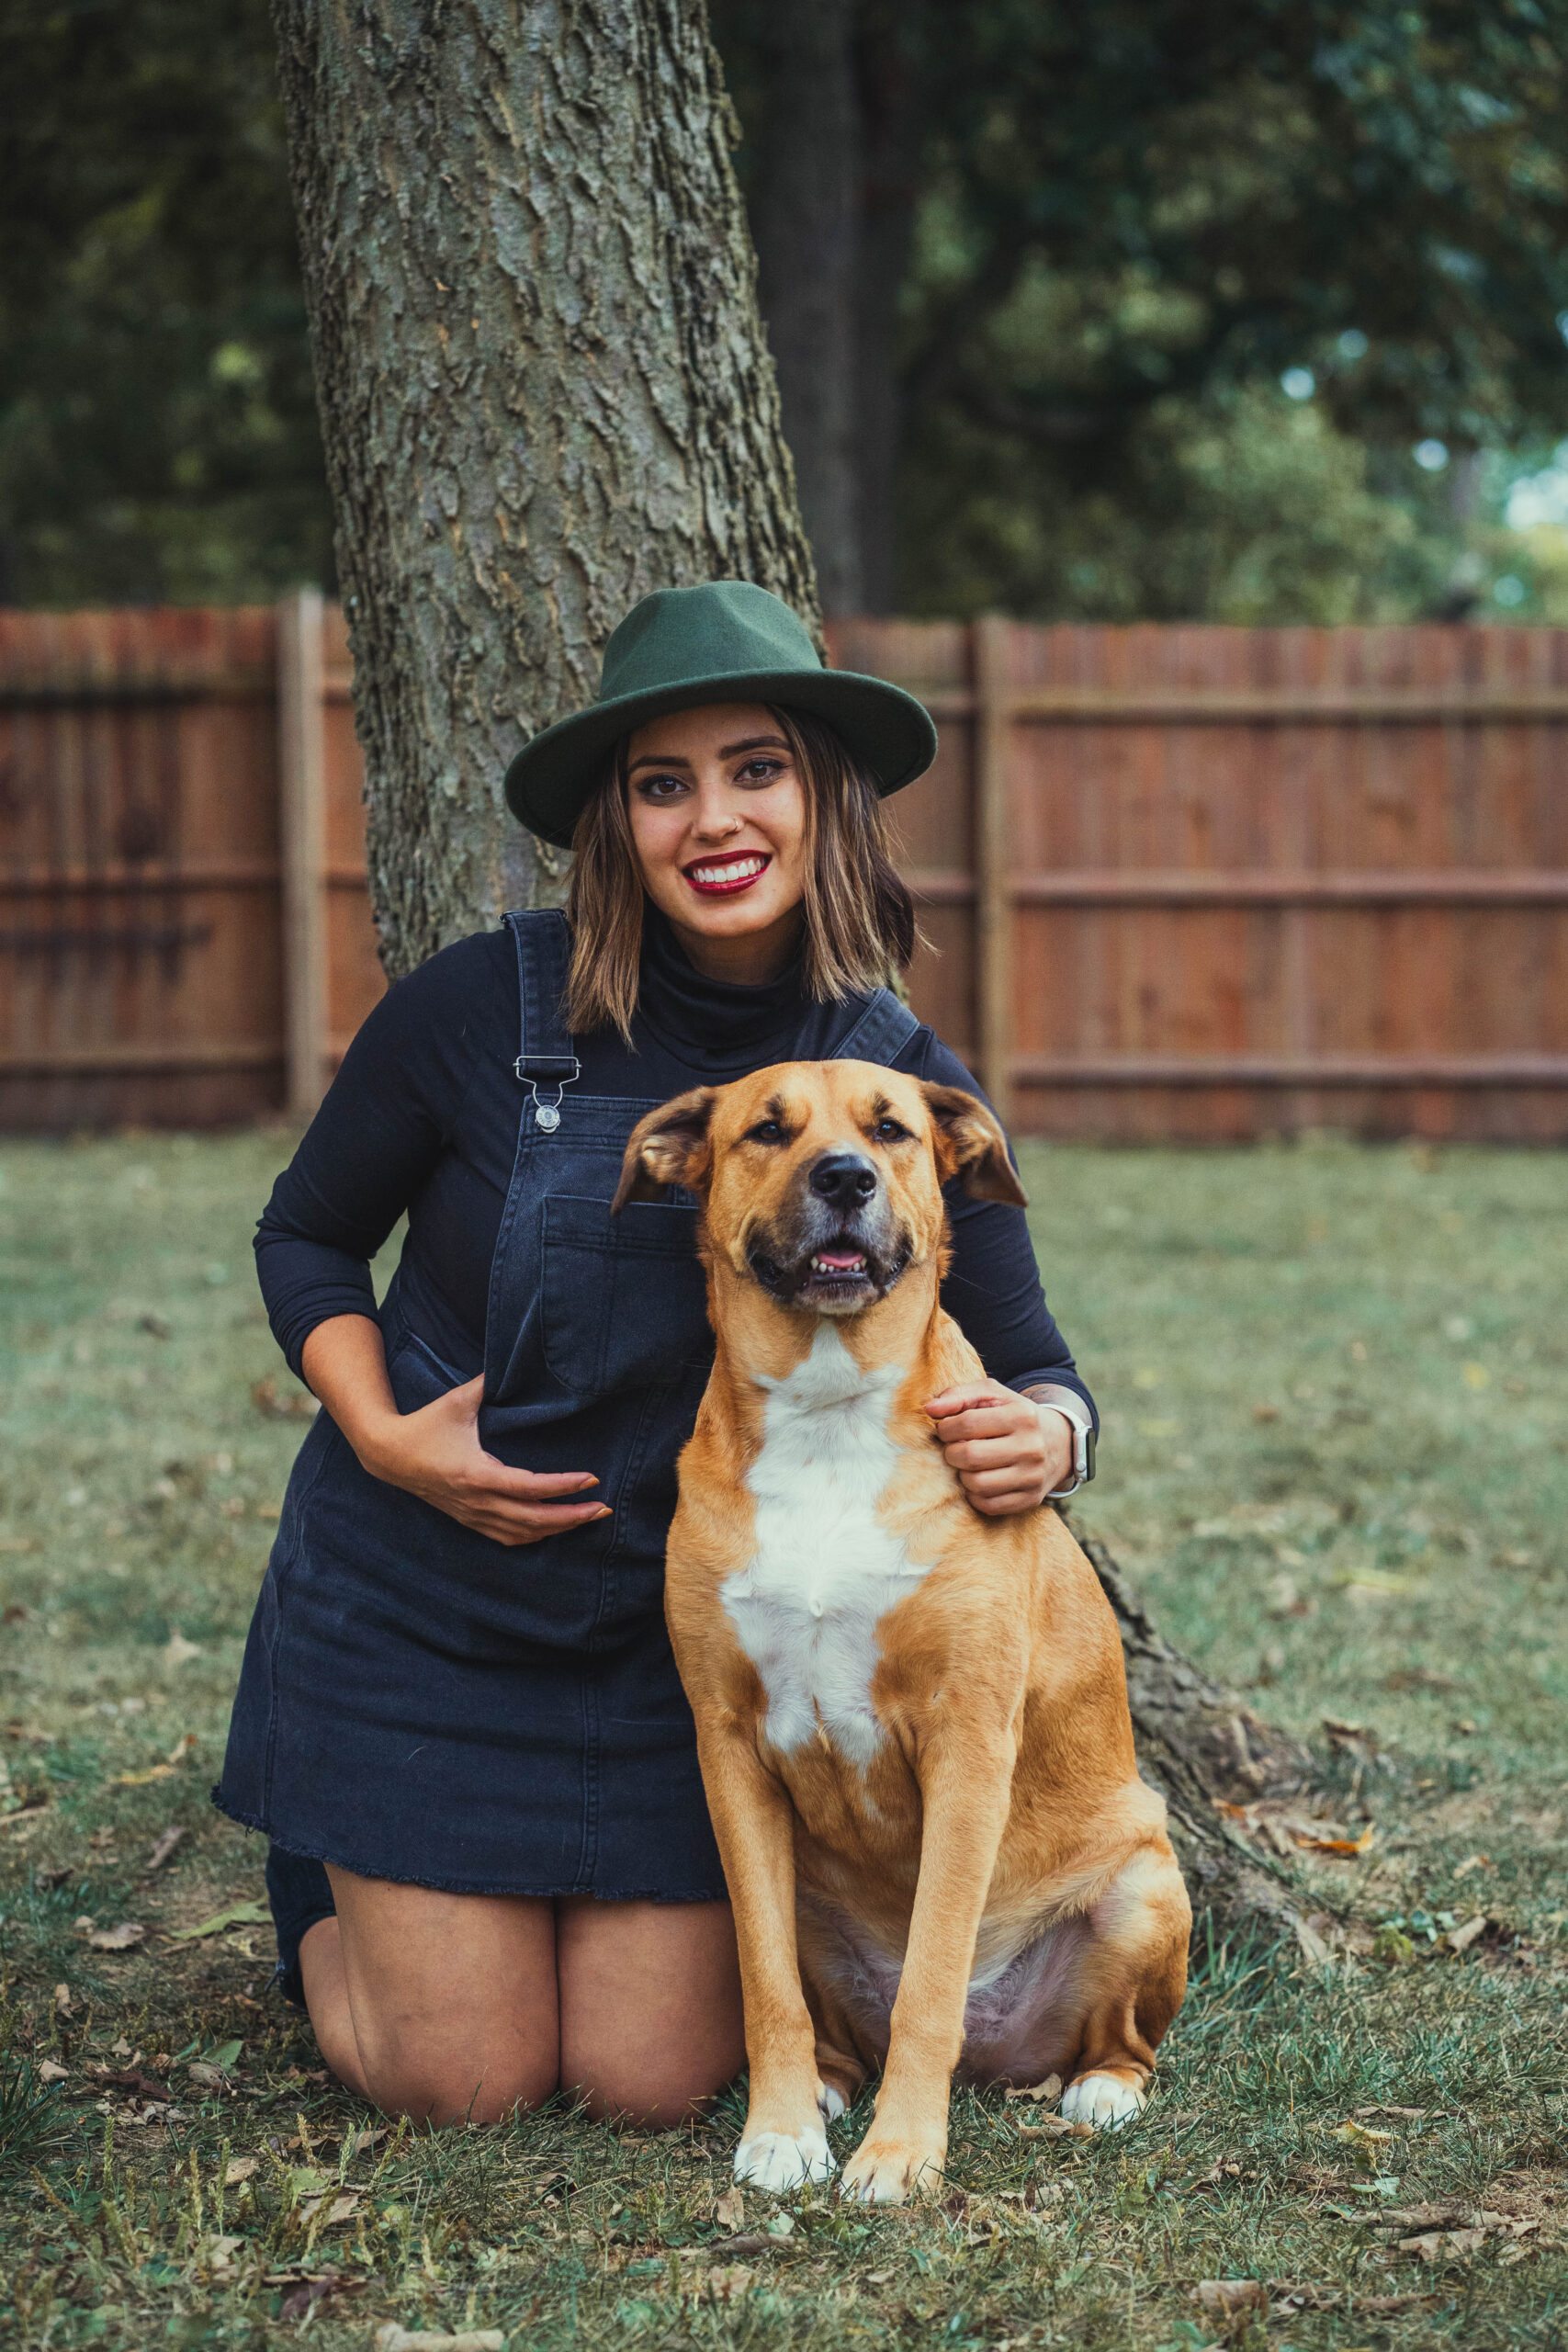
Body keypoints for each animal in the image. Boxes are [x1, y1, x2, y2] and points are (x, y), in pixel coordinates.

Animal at [611, 1068, 1189, 2201]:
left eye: (892, 1129)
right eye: (767, 1130)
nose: (844, 1177)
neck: (829, 1413)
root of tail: (1008, 2053)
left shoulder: (966, 1740)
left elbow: (931, 1974)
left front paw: (901, 2154)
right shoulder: (727, 1742)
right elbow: (765, 1984)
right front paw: (782, 2130)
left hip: (1147, 1882)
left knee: (1122, 2040)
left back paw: (1101, 2089)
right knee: (829, 2014)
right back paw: (834, 2084)